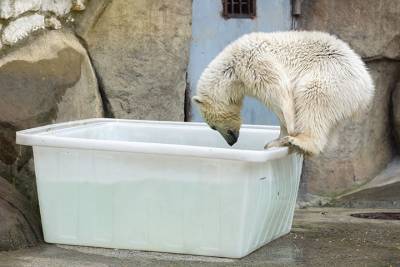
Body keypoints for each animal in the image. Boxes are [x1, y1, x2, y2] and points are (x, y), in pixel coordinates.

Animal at [192, 31, 374, 156]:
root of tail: (367, 89)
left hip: (332, 76)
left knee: (314, 97)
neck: (231, 67)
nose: (232, 142)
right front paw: (274, 142)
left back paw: (300, 141)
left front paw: (289, 131)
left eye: (212, 127)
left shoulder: (253, 62)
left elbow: (278, 91)